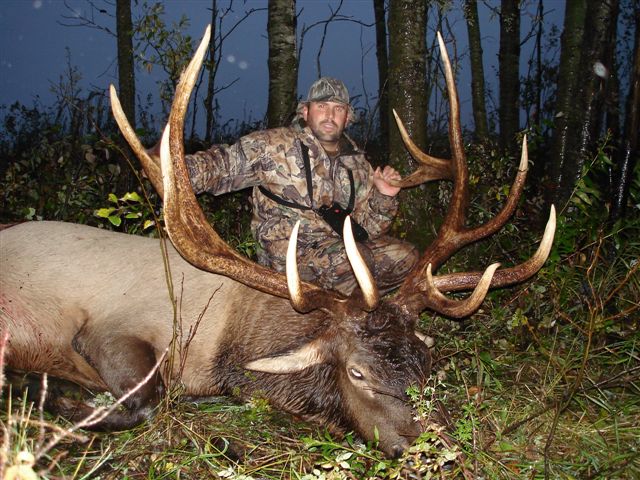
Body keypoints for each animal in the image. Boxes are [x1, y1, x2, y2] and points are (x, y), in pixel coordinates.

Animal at [0, 27, 555, 458]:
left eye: (425, 364)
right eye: (357, 372)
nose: (426, 444)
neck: (230, 345)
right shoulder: (111, 328)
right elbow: (145, 402)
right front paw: (54, 403)